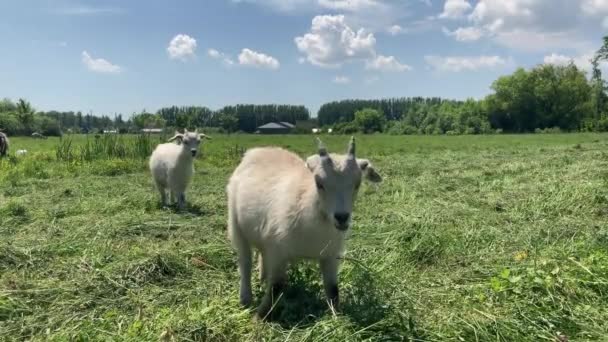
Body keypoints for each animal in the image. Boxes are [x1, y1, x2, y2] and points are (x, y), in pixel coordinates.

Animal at [226, 137, 382, 320]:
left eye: (357, 184)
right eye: (319, 183)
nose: (342, 217)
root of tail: (258, 150)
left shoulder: (331, 255)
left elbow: (333, 290)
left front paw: (337, 317)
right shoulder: (279, 252)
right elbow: (276, 287)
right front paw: (259, 317)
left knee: (261, 254)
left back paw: (262, 278)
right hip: (236, 225)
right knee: (245, 262)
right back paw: (245, 298)